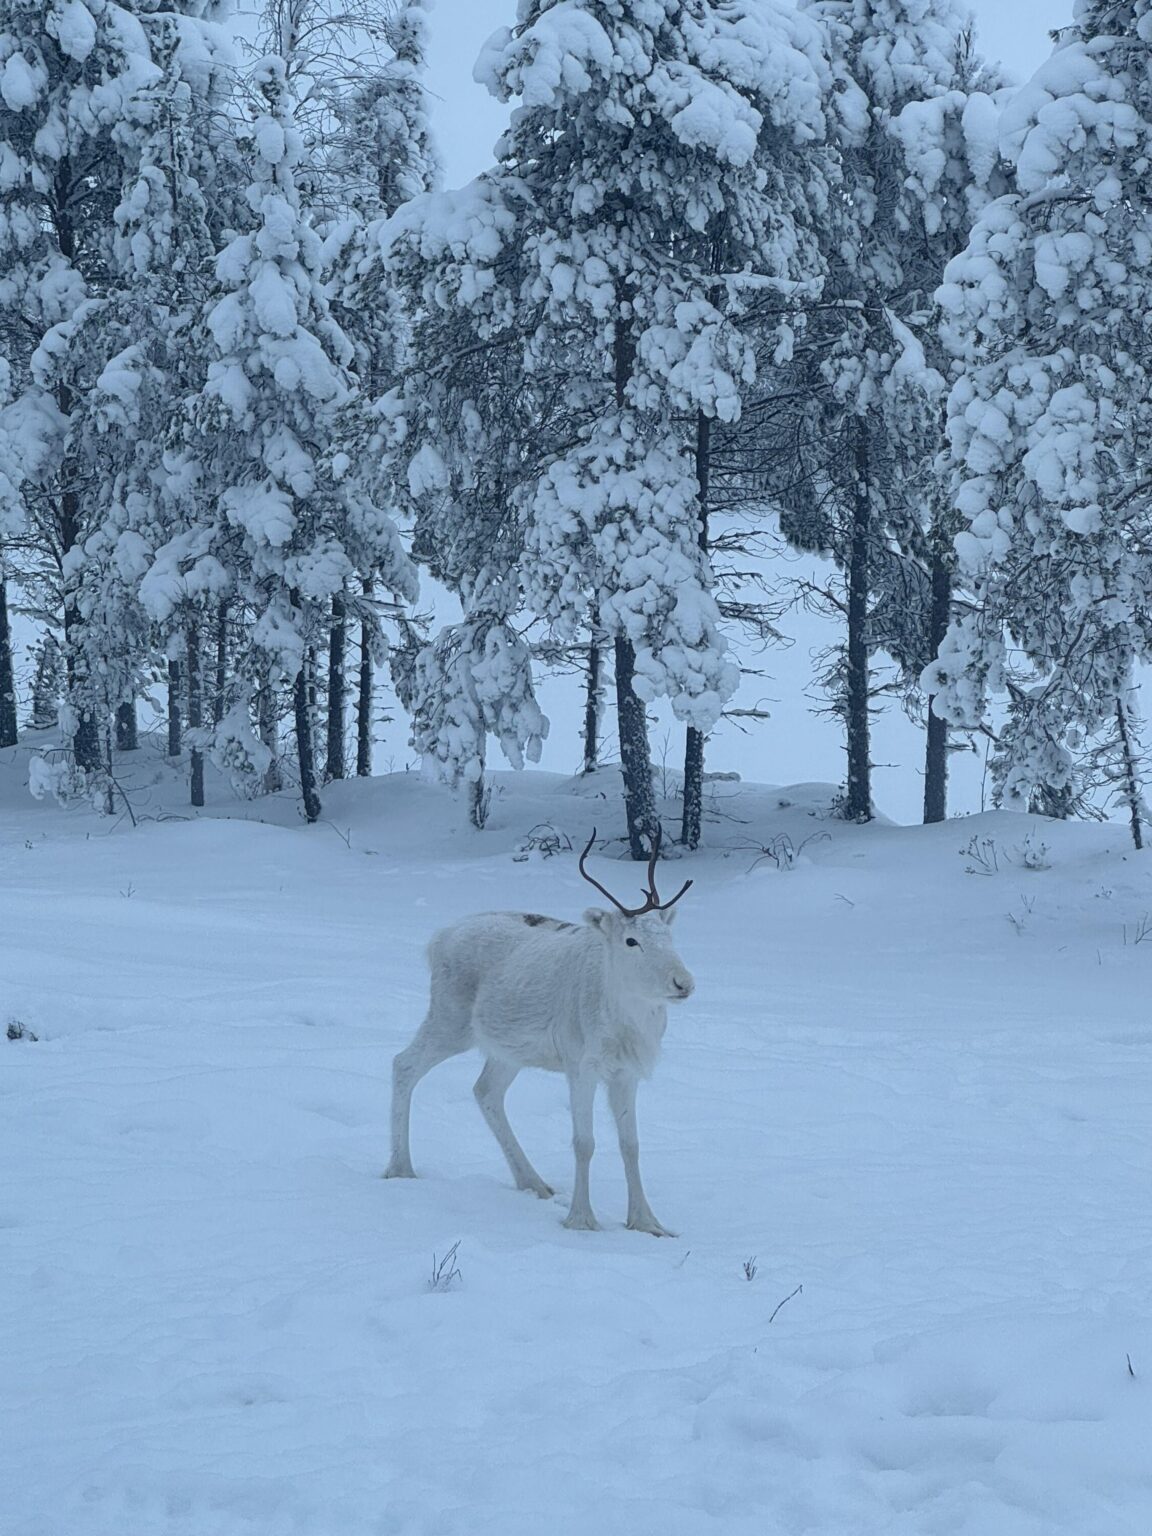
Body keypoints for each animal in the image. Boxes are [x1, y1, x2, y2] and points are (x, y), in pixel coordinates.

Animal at [384, 829, 694, 1235]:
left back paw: (533, 1181)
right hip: (450, 1019)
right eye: (631, 941)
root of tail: (438, 938)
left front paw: (648, 1223)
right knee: (404, 1064)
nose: (683, 983)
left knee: (485, 1090)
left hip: (505, 1049)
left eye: (669, 936)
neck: (627, 1021)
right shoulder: (580, 1065)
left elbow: (631, 1145)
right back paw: (400, 1167)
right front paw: (581, 1219)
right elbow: (584, 1142)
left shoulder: (626, 1072)